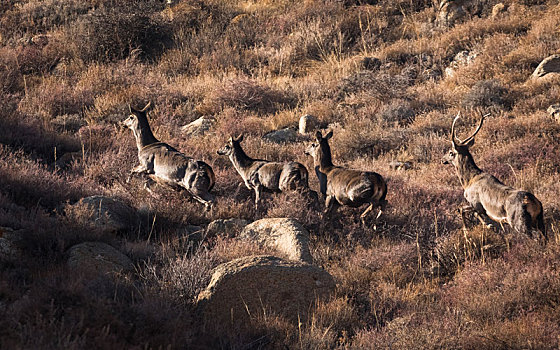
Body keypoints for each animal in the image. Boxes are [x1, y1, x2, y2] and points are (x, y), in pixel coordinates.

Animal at [442, 113, 548, 242]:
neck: (468, 182)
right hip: (539, 220)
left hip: (519, 221)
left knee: (535, 237)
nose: (442, 159)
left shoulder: (476, 203)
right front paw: (489, 226)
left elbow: (462, 209)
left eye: (450, 152)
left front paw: (467, 232)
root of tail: (533, 202)